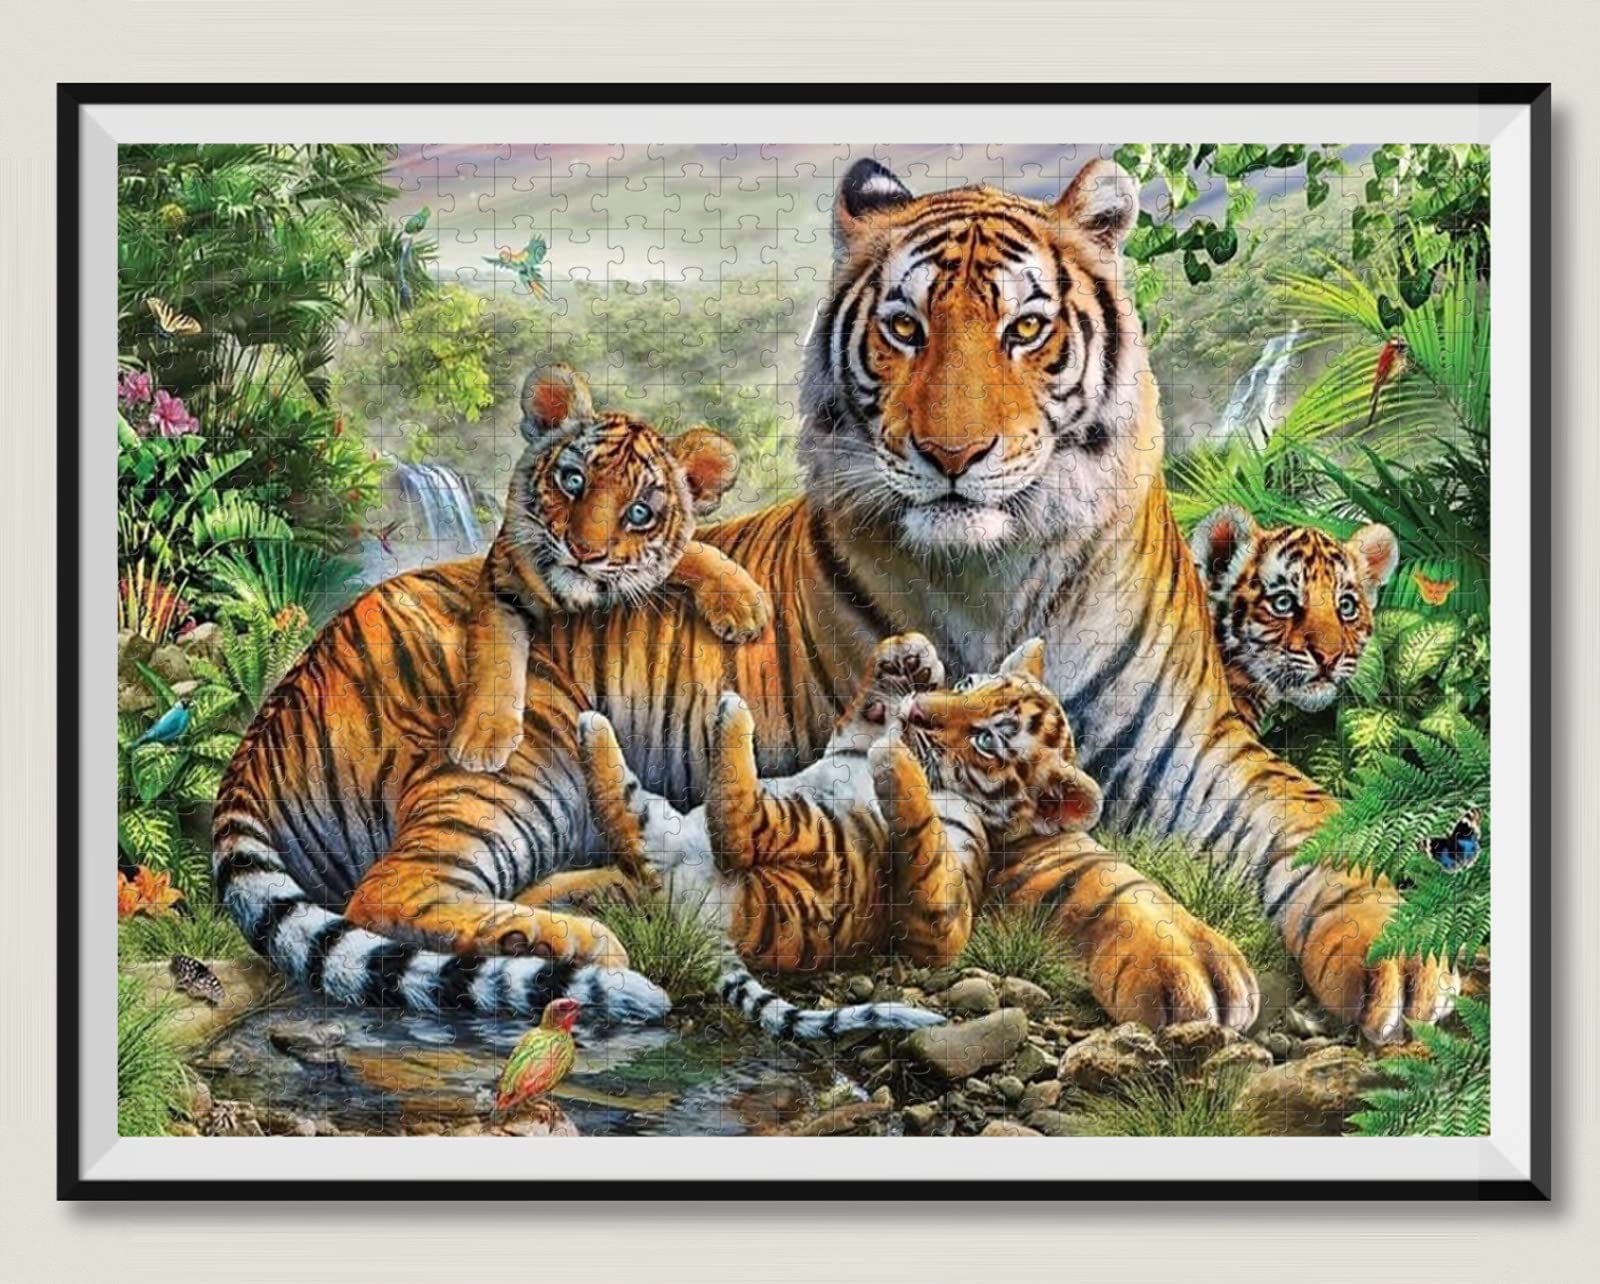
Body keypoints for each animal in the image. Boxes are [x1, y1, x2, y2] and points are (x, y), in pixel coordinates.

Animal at [449, 363, 769, 775]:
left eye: (639, 513)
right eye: (573, 481)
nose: (584, 551)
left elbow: (689, 552)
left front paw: (743, 603)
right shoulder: (502, 581)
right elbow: (496, 654)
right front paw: (483, 736)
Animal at [578, 634, 1102, 1038]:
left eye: (986, 740)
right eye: (968, 685)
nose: (917, 711)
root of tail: (699, 922)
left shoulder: (943, 923)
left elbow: (925, 842)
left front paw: (895, 758)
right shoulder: (848, 743)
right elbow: (862, 715)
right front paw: (911, 655)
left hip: (820, 847)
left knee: (740, 829)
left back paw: (731, 714)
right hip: (667, 829)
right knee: (629, 828)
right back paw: (593, 727)